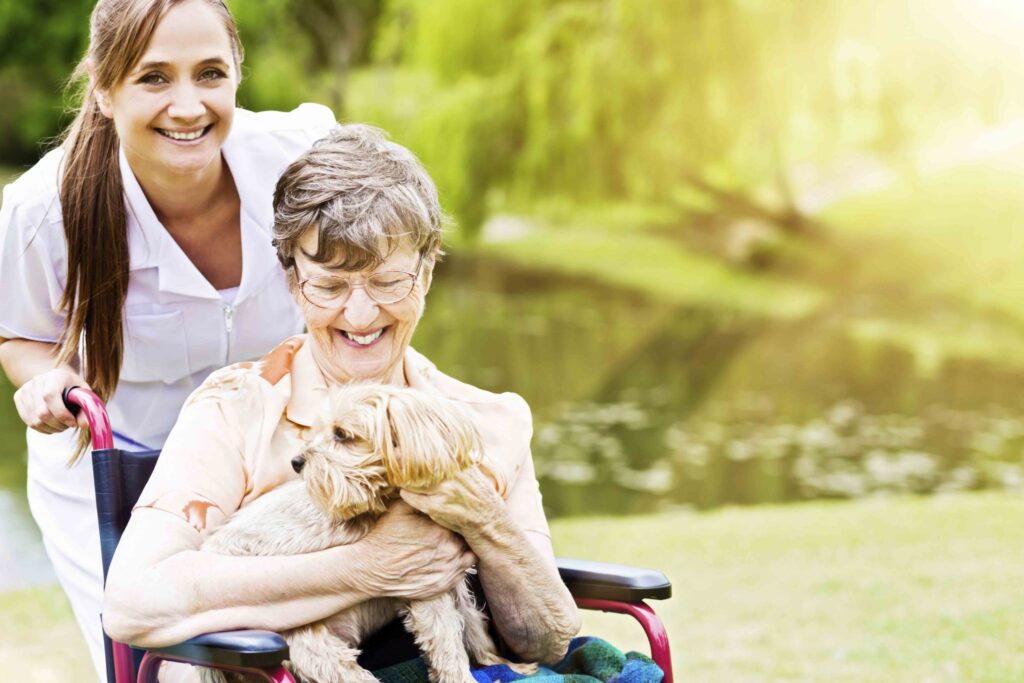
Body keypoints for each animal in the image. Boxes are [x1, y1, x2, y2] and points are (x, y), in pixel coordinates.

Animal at [198, 385, 536, 683]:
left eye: (341, 434)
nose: (296, 462)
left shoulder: (454, 584)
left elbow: (474, 626)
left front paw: (505, 665)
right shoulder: (426, 587)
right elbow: (448, 646)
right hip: (316, 653)